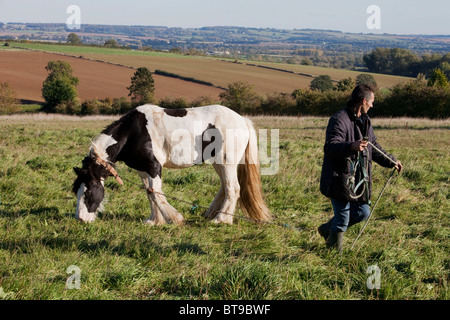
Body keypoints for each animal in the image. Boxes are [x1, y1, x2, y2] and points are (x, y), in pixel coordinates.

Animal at [72, 105, 270, 225]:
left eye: (88, 191)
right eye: (77, 190)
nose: (81, 219)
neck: (133, 132)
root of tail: (243, 120)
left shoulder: (154, 167)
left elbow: (157, 194)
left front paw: (174, 218)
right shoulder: (142, 170)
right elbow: (150, 193)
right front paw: (154, 221)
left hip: (227, 162)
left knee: (233, 188)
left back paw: (221, 219)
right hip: (218, 163)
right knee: (225, 187)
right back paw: (210, 214)